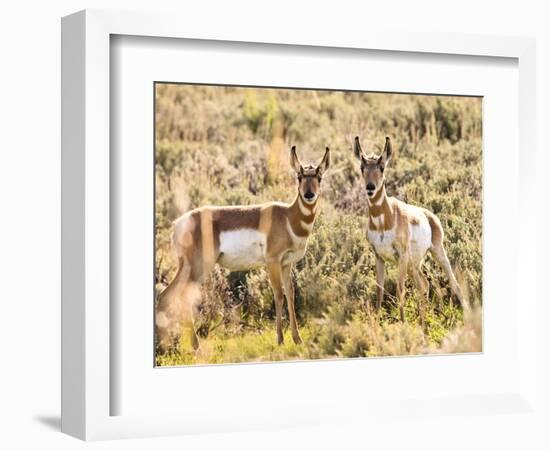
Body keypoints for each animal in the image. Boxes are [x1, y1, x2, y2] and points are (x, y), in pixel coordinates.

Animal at [155, 146, 332, 354]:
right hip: (199, 267)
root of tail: (178, 224)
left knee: (167, 295)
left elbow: (290, 294)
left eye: (319, 176)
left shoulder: (286, 264)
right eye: (299, 176)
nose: (309, 195)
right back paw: (188, 346)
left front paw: (297, 339)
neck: (288, 217)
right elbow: (278, 294)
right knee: (180, 296)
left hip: (188, 267)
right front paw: (280, 339)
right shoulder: (272, 262)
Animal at [354, 135, 470, 326]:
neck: (385, 219)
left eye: (382, 167)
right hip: (413, 265)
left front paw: (403, 323)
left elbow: (400, 289)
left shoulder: (401, 256)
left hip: (436, 253)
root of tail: (430, 216)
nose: (370, 187)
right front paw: (377, 322)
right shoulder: (379, 256)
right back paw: (424, 322)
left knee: (454, 283)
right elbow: (379, 290)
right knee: (424, 284)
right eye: (362, 167)